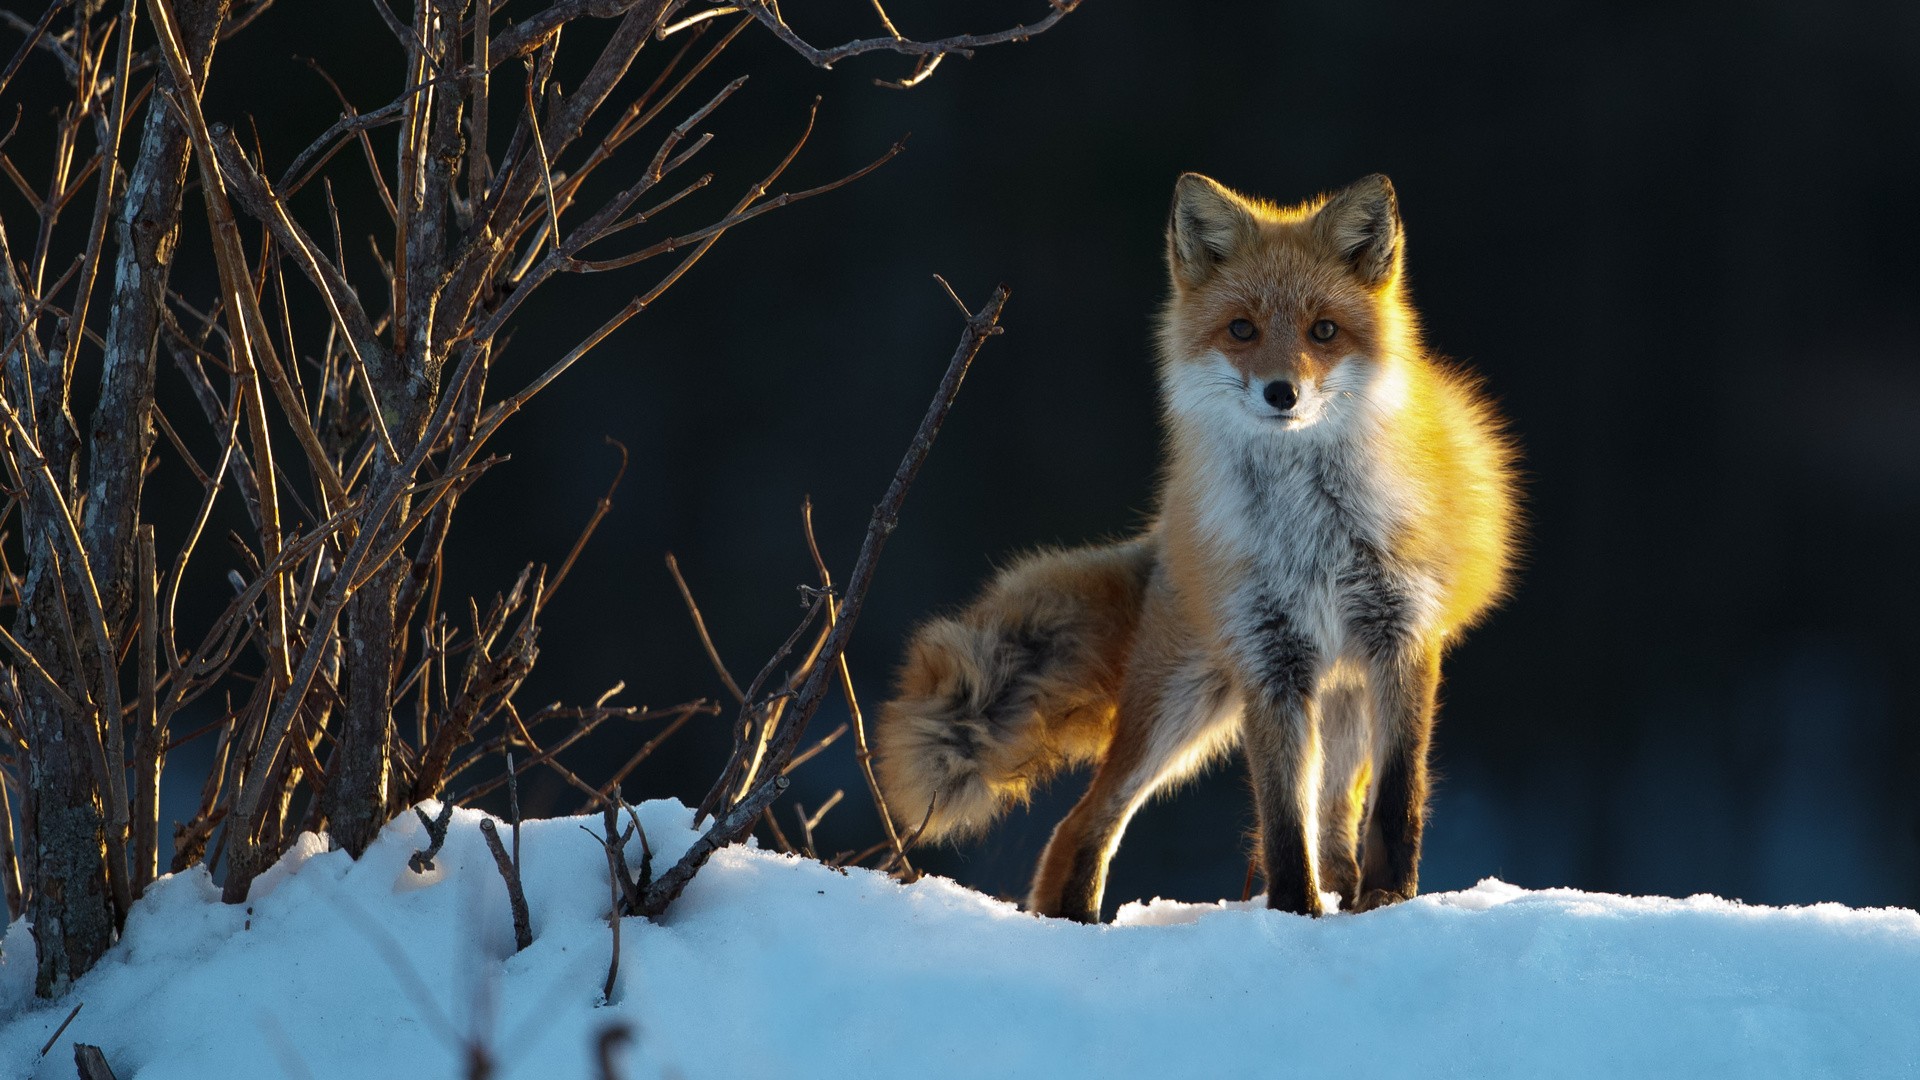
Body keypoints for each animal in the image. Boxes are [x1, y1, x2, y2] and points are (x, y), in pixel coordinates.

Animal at [879, 171, 1520, 922]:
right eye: (1242, 329)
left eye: (1324, 330)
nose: (1282, 393)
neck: (1310, 535)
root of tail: (1167, 532)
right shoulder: (1269, 659)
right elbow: (1282, 820)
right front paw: (1293, 914)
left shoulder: (1401, 640)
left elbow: (1395, 798)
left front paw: (1388, 898)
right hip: (1186, 700)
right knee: (1085, 822)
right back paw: (1076, 920)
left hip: (1330, 692)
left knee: (1333, 815)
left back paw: (1345, 891)